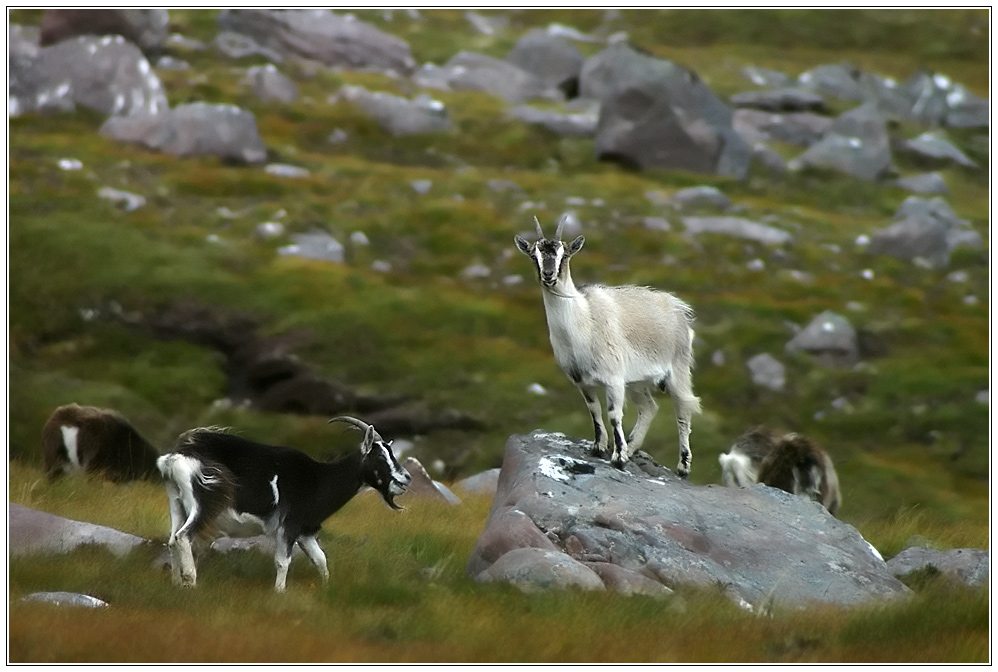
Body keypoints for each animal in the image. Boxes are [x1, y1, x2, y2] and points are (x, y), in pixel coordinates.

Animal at [155, 414, 410, 592]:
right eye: (380, 456)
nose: (406, 478)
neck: (318, 479)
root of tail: (177, 454)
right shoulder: (288, 525)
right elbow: (283, 562)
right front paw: (279, 593)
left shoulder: (304, 531)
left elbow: (321, 560)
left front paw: (327, 589)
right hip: (205, 500)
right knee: (184, 536)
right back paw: (192, 583)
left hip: (177, 501)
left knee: (172, 540)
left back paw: (176, 584)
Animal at [516, 218, 704, 476]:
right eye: (534, 255)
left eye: (564, 255)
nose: (548, 275)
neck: (582, 322)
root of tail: (678, 308)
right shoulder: (582, 381)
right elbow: (594, 410)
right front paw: (599, 447)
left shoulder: (613, 379)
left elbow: (614, 415)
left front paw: (618, 458)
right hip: (636, 380)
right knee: (649, 407)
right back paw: (633, 447)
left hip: (678, 367)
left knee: (683, 410)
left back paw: (683, 466)